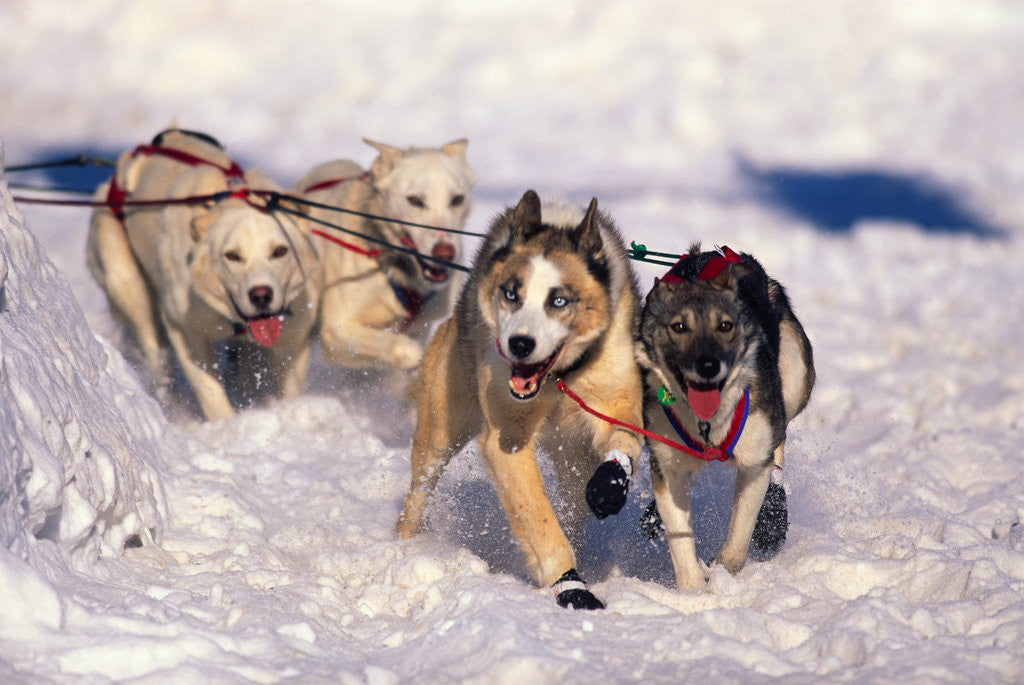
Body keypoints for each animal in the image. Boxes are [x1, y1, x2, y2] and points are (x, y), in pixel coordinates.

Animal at [88, 126, 319, 417]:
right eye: (232, 255)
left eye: (279, 251)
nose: (261, 295)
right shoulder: (185, 331)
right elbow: (209, 391)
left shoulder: (293, 339)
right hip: (126, 284)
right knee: (150, 340)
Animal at [292, 139, 475, 370]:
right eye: (415, 200)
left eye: (457, 199)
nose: (445, 253)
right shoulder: (337, 330)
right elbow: (405, 348)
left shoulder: (419, 327)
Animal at [397, 188, 643, 610]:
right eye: (511, 293)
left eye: (559, 301)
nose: (520, 344)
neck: (558, 378)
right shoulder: (506, 438)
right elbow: (538, 517)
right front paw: (571, 585)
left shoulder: (614, 400)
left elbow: (623, 441)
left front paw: (610, 484)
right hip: (439, 433)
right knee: (417, 494)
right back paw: (399, 549)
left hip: (573, 457)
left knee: (575, 502)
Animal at [634, 244, 811, 589]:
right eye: (679, 326)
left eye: (726, 326)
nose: (707, 365)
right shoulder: (667, 462)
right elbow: (680, 538)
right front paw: (692, 590)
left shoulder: (754, 461)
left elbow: (738, 539)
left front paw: (720, 573)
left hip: (795, 375)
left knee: (781, 435)